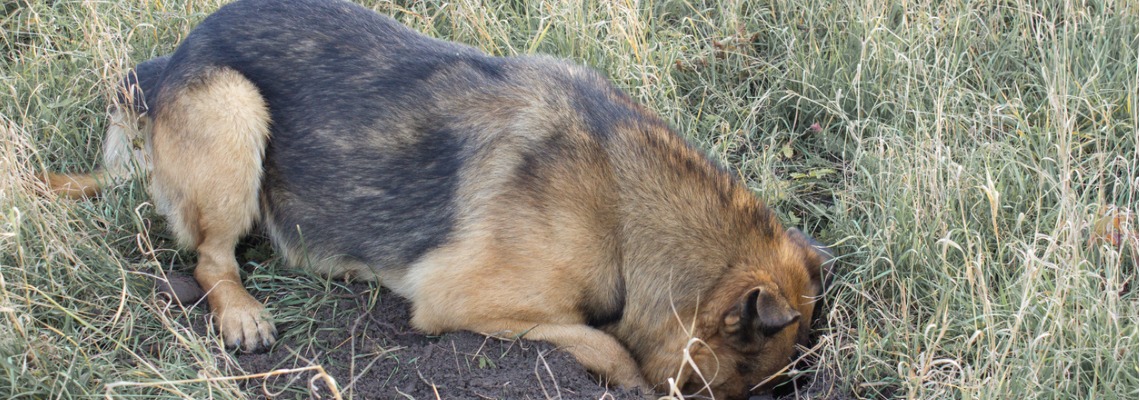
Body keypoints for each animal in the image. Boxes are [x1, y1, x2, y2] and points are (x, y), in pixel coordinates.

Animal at [40, 0, 834, 398]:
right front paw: (625, 378)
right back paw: (240, 311)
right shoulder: (462, 299)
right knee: (209, 258)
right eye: (743, 382)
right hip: (232, 107)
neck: (622, 212)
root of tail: (168, 62)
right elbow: (603, 342)